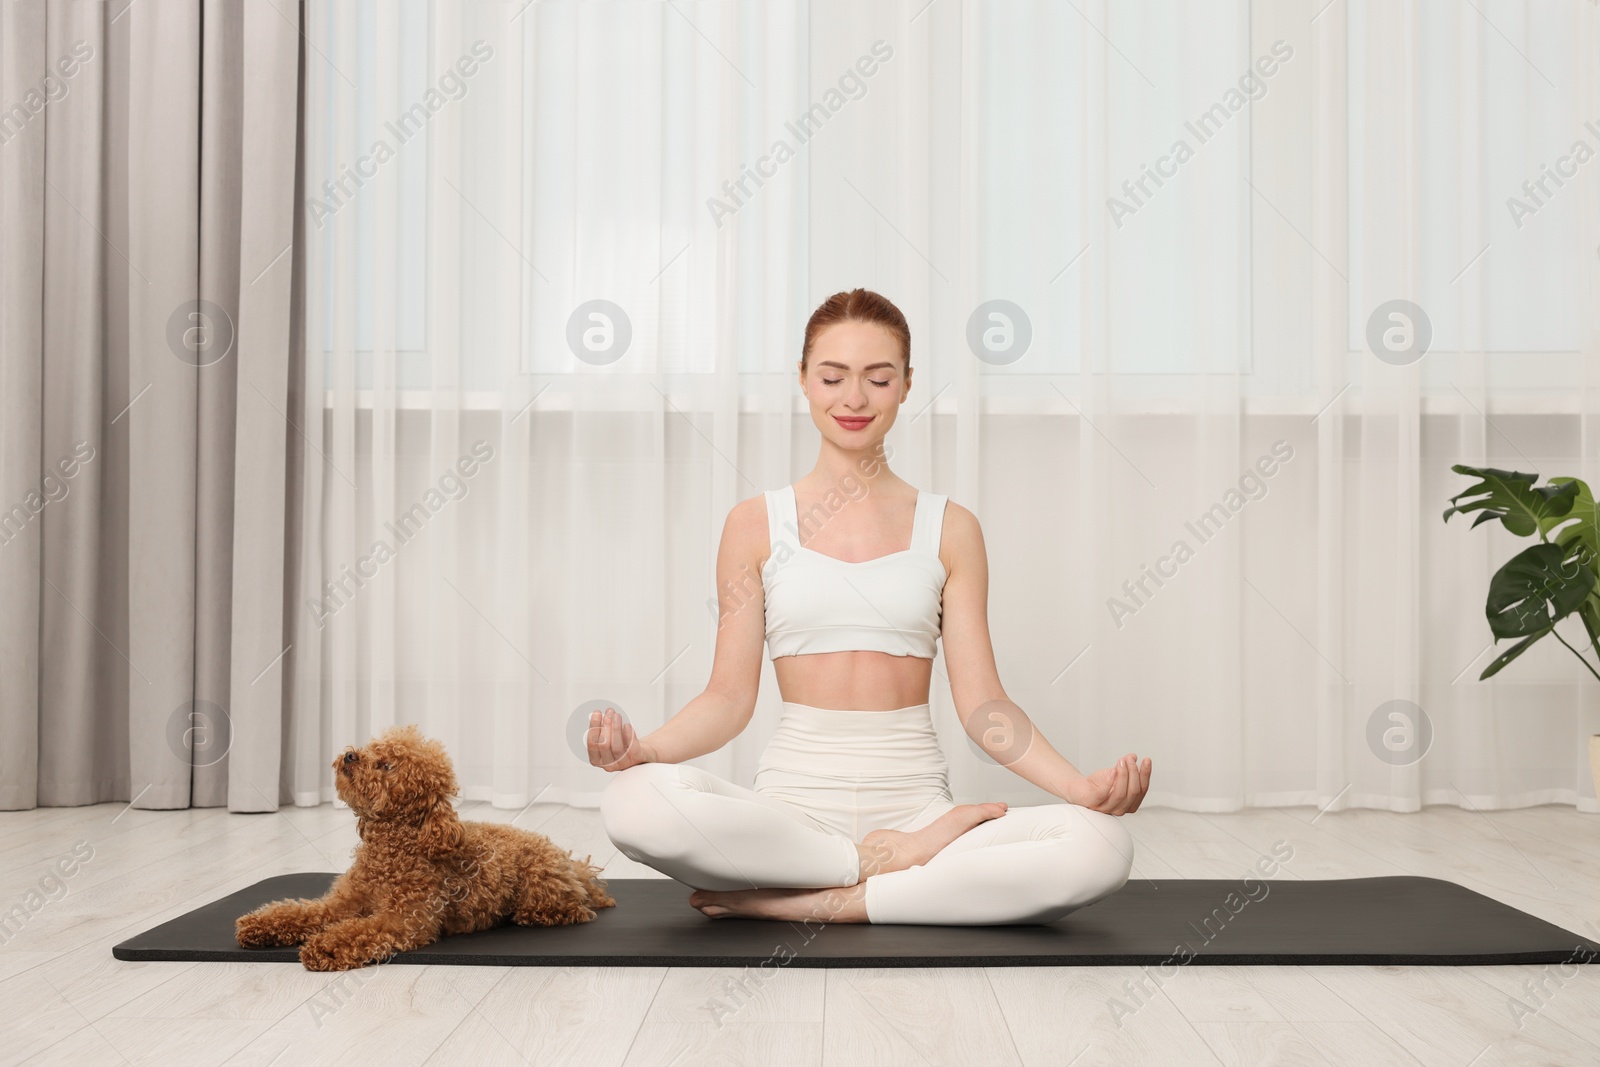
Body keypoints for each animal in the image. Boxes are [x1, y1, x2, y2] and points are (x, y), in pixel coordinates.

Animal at [233, 723, 614, 972]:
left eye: (387, 765)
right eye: (373, 750)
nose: (351, 755)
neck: (393, 849)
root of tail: (571, 866)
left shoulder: (405, 921)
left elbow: (360, 930)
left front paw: (324, 946)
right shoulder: (342, 904)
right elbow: (303, 912)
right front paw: (259, 926)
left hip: (541, 893)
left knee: (572, 911)